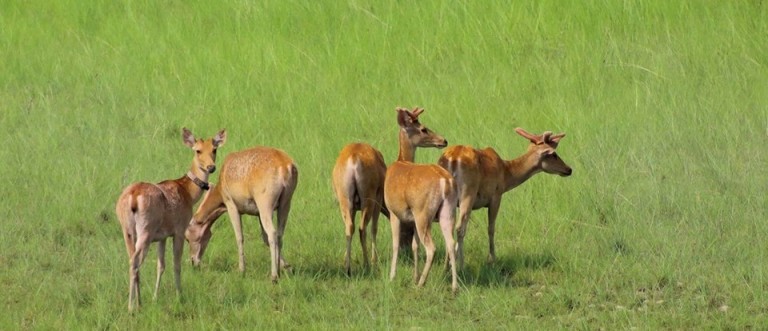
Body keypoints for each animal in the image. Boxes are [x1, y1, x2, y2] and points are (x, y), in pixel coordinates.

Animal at [115, 127, 226, 312]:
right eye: (198, 150)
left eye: (214, 149)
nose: (211, 167)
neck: (188, 193)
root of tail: (133, 197)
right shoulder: (179, 230)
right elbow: (176, 263)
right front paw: (180, 296)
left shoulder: (162, 236)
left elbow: (160, 265)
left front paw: (154, 297)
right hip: (146, 229)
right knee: (135, 261)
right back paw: (131, 307)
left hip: (127, 231)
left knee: (132, 260)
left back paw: (139, 302)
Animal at [183, 147, 296, 284]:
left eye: (187, 238)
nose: (193, 262)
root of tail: (286, 166)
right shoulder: (258, 213)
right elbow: (264, 238)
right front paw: (289, 267)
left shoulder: (231, 205)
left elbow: (239, 237)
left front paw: (241, 271)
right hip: (285, 203)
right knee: (279, 234)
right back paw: (279, 272)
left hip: (265, 205)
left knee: (272, 233)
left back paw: (274, 276)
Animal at [332, 144, 390, 276]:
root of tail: (354, 158)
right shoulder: (378, 200)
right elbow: (374, 229)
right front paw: (375, 261)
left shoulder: (353, 209)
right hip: (368, 202)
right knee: (362, 229)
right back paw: (367, 264)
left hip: (345, 203)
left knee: (349, 227)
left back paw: (348, 269)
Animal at [382, 107, 456, 294]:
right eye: (423, 129)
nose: (443, 140)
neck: (401, 160)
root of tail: (446, 181)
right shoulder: (411, 218)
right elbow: (414, 246)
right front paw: (413, 276)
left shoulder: (394, 211)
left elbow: (396, 244)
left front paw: (392, 277)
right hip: (447, 211)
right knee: (451, 243)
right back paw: (454, 286)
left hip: (423, 212)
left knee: (432, 247)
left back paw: (422, 282)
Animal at [436, 127, 572, 270]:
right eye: (554, 154)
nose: (569, 169)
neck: (506, 174)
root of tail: (452, 160)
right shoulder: (496, 195)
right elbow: (491, 228)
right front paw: (492, 259)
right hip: (468, 192)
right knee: (459, 227)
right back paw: (461, 265)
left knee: (448, 227)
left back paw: (446, 266)